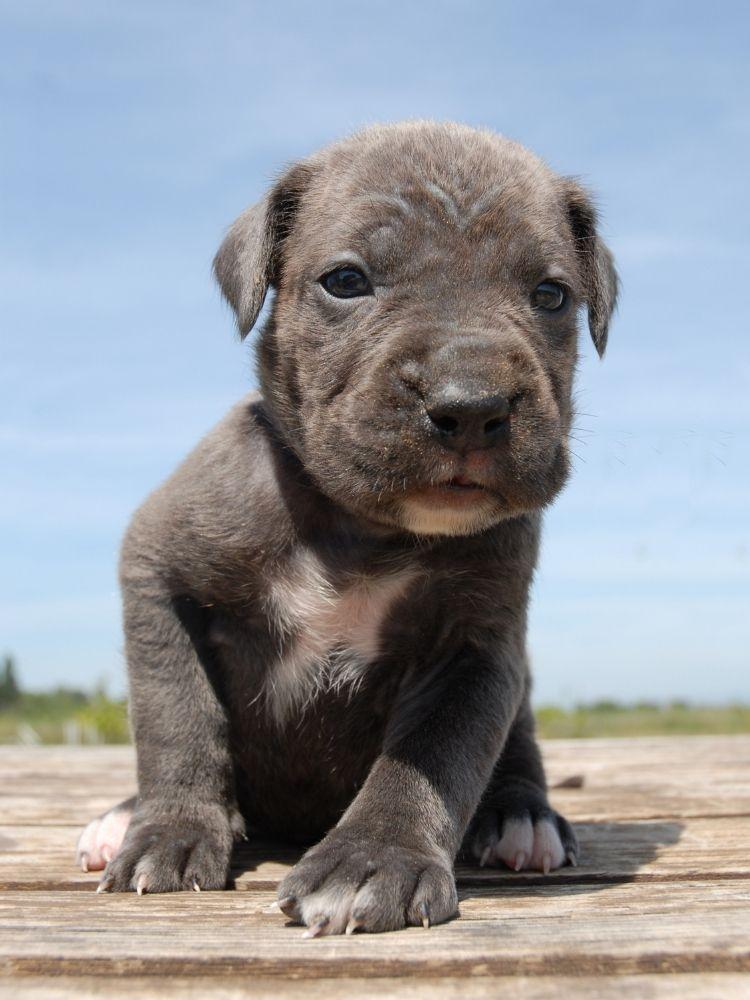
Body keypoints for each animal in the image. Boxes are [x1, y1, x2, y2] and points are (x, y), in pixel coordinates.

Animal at [76, 121, 620, 932]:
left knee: (518, 755)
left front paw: (374, 860)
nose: (470, 404)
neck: (362, 527)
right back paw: (123, 817)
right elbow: (178, 716)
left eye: (551, 295)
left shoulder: (475, 651)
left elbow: (432, 757)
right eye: (346, 282)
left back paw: (522, 819)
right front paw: (170, 829)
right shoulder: (157, 571)